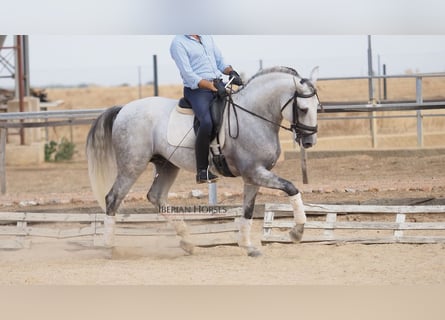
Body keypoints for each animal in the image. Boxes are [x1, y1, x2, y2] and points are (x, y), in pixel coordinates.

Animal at [86, 65, 320, 258]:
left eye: (317, 106)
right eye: (303, 109)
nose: (309, 141)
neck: (254, 116)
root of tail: (124, 109)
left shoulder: (253, 177)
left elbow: (248, 211)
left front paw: (248, 247)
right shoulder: (254, 172)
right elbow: (291, 187)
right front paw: (297, 232)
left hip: (167, 165)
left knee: (156, 197)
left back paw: (187, 241)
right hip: (132, 165)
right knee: (113, 198)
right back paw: (110, 248)